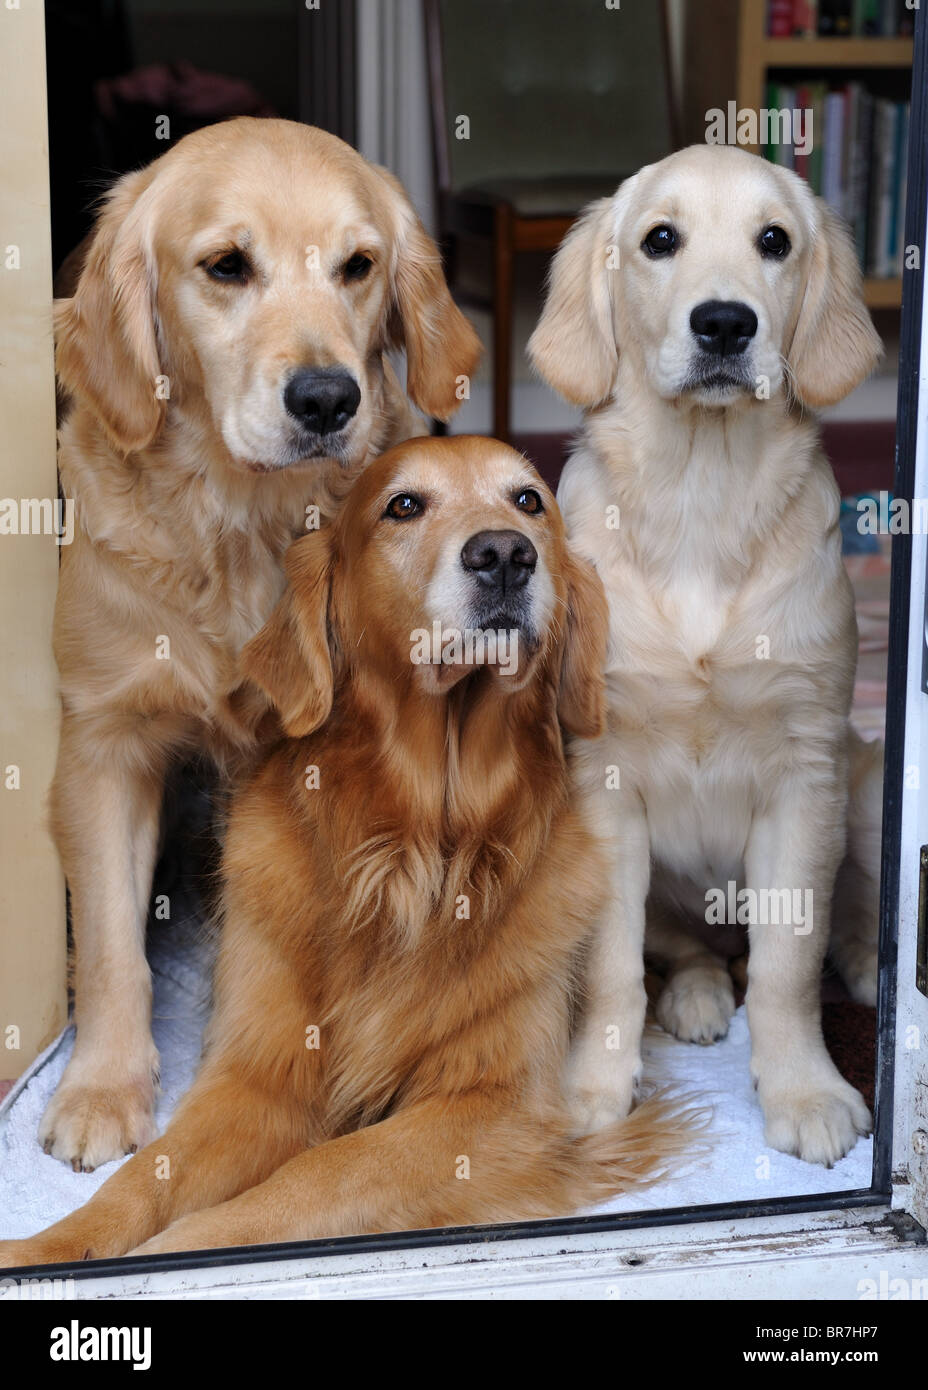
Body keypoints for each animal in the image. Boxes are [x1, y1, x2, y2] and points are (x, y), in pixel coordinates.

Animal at [527, 143, 883, 1162]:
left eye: (775, 242)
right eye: (660, 241)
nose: (725, 323)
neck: (702, 498)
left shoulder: (807, 775)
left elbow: (789, 966)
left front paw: (805, 1089)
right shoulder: (602, 782)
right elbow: (610, 965)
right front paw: (595, 1086)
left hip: (868, 783)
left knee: (844, 913)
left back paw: (866, 960)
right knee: (682, 948)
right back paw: (692, 994)